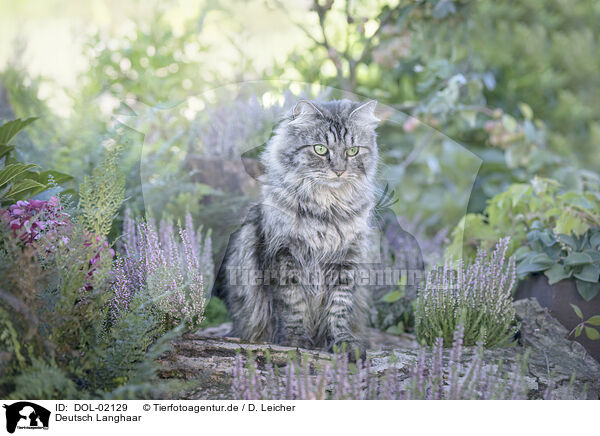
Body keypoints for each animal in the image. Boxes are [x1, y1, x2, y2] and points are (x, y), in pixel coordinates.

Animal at [213, 99, 378, 358]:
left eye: (353, 151)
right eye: (320, 149)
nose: (339, 171)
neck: (327, 208)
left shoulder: (347, 258)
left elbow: (339, 308)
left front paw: (343, 342)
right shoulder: (283, 253)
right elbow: (293, 303)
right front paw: (295, 340)